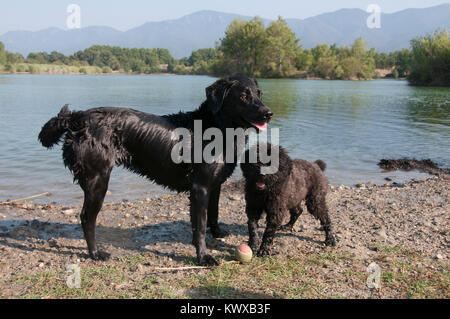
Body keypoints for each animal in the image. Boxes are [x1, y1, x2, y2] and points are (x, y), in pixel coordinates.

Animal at [38, 76, 272, 266]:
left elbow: (213, 214)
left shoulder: (215, 185)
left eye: (259, 94)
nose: (268, 113)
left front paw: (218, 233)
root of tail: (78, 118)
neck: (217, 130)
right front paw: (203, 257)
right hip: (98, 179)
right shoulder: (200, 188)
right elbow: (200, 226)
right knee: (87, 218)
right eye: (243, 96)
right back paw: (95, 253)